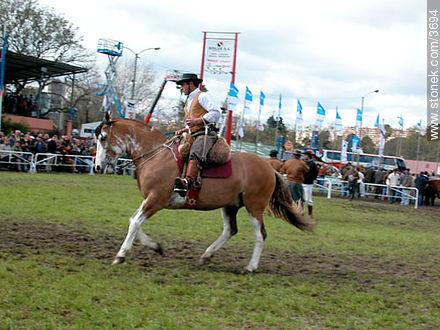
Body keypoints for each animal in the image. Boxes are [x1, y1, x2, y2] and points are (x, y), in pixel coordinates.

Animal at [94, 112, 314, 272]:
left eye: (103, 138)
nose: (97, 167)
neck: (157, 155)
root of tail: (270, 168)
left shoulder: (156, 200)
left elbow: (134, 223)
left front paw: (120, 255)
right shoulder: (151, 201)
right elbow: (134, 221)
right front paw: (156, 246)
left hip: (254, 207)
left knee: (260, 235)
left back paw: (250, 267)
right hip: (230, 206)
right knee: (230, 230)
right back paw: (206, 256)